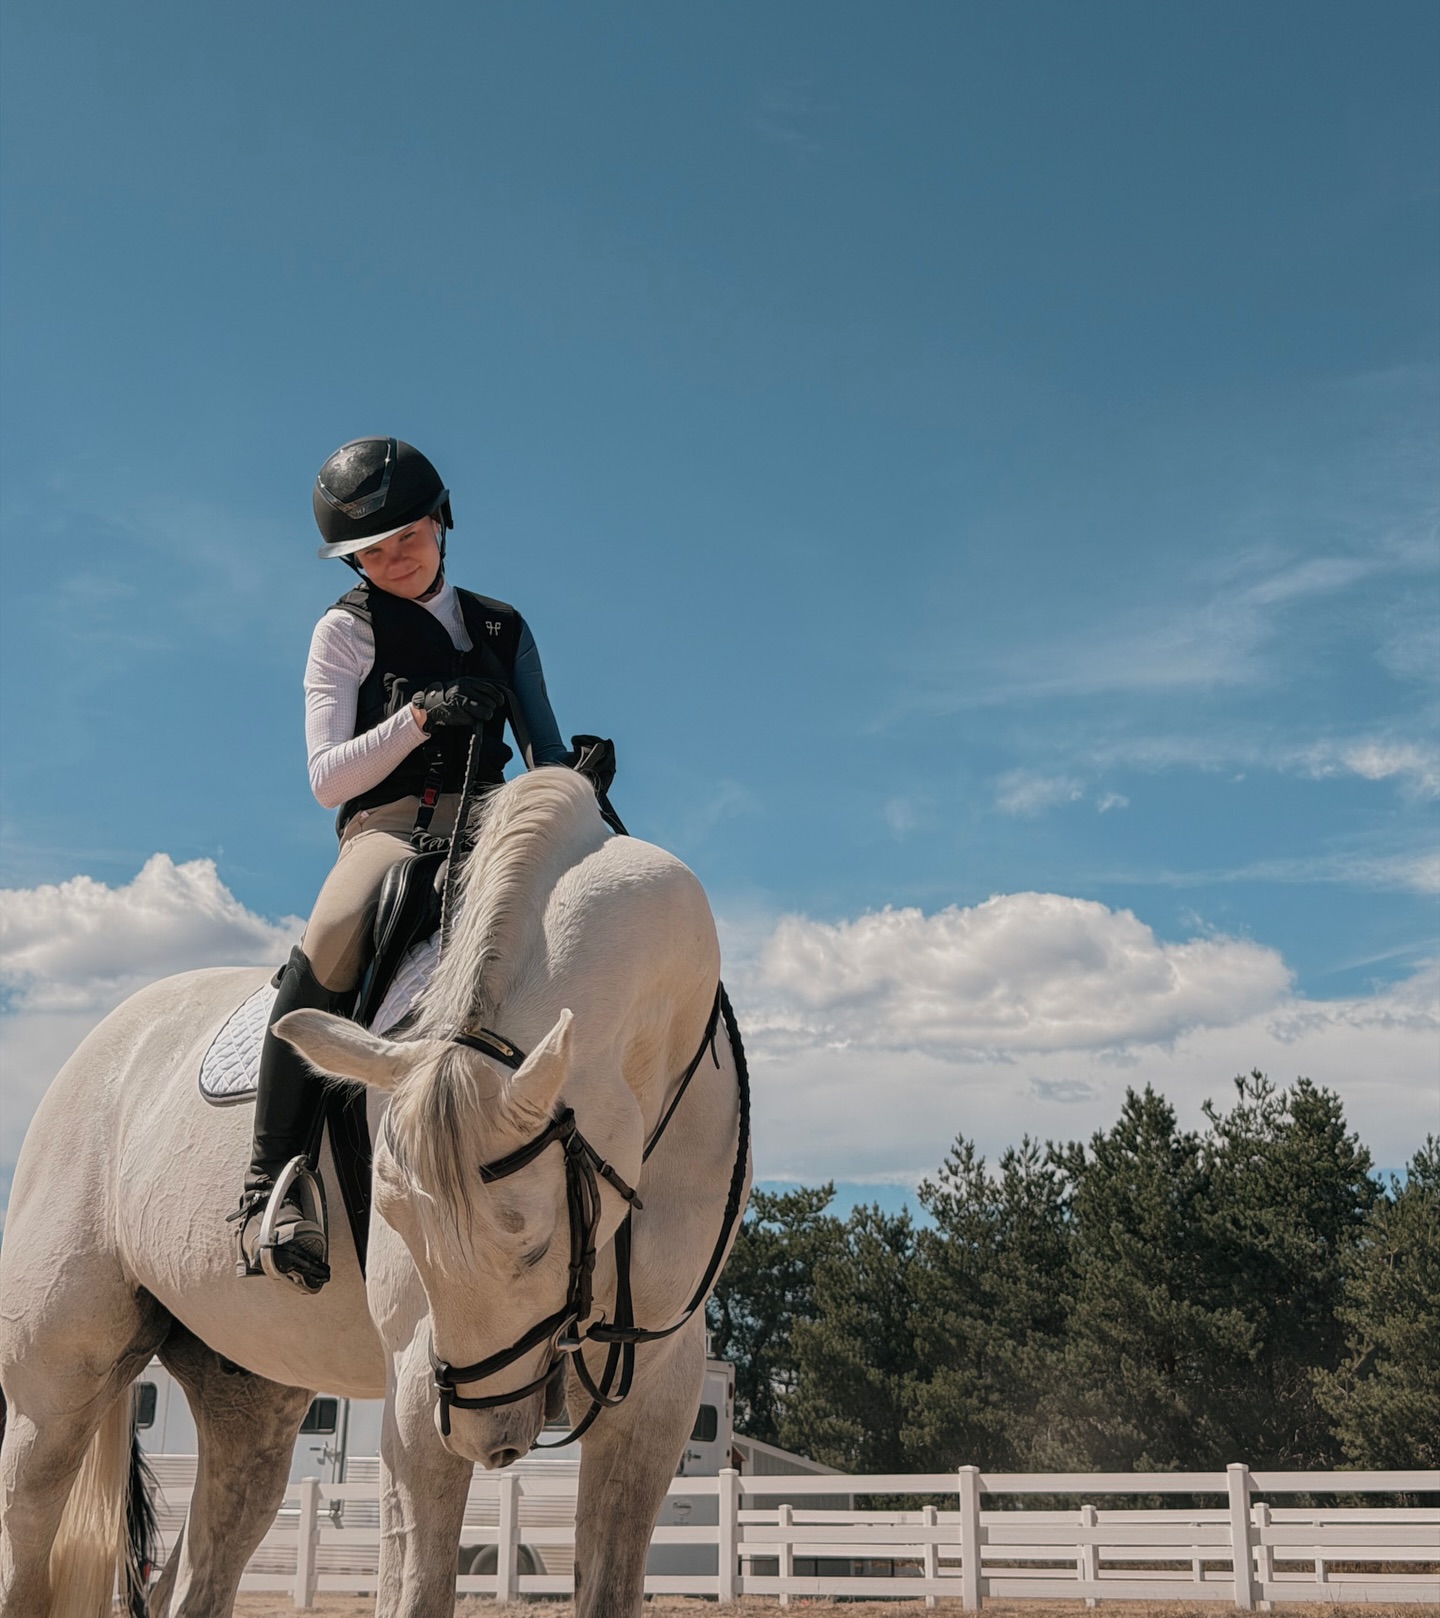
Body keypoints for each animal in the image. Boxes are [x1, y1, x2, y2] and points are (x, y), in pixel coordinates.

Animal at [0, 767, 750, 1618]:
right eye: (396, 1224)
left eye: (533, 1241)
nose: (485, 1439)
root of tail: (103, 1047)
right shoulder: (414, 1386)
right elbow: (418, 1583)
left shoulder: (655, 1391)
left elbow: (610, 1584)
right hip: (55, 1389)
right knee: (28, 1548)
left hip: (248, 1402)